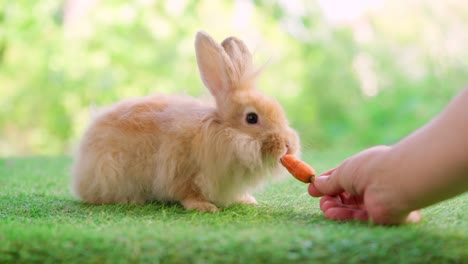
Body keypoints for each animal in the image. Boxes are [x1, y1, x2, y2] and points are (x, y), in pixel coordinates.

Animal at [72, 31, 300, 212]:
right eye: (251, 118)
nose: (288, 145)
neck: (223, 135)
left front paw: (247, 201)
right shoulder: (180, 171)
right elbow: (188, 193)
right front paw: (206, 207)